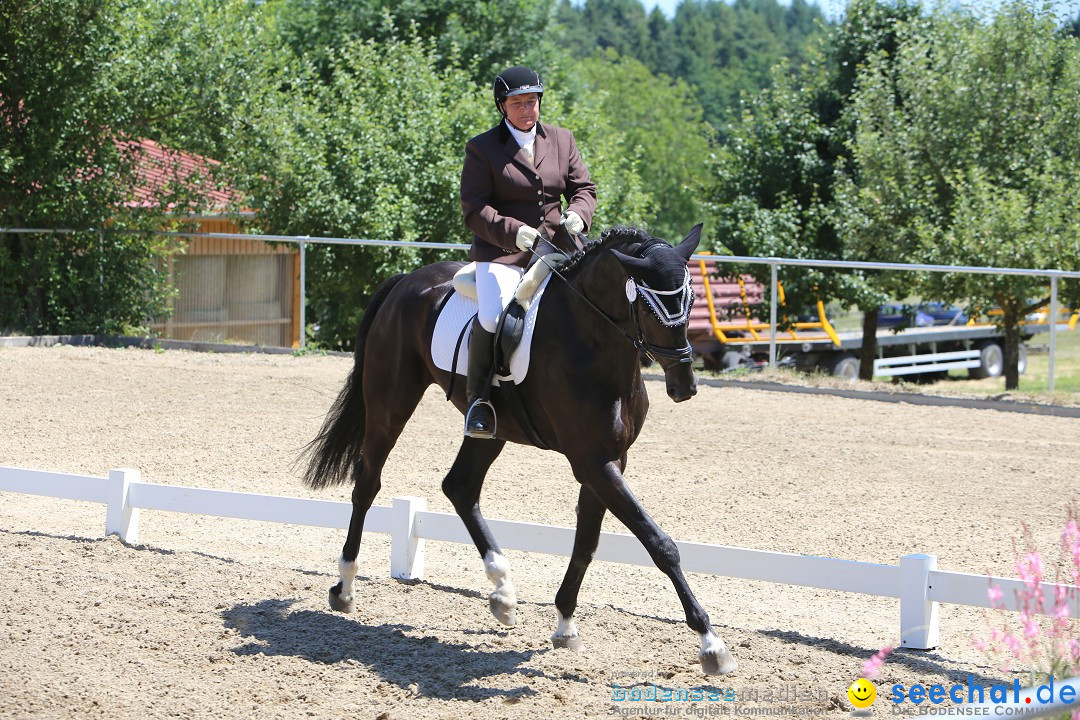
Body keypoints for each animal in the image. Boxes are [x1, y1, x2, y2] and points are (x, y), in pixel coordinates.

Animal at [304, 223, 743, 677]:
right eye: (651, 306)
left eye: (690, 300)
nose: (684, 386)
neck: (591, 340)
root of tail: (406, 280)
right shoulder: (593, 462)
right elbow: (659, 544)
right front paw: (712, 644)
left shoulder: (609, 459)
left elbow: (586, 542)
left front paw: (565, 624)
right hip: (390, 404)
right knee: (367, 483)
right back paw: (345, 586)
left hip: (489, 429)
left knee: (460, 487)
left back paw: (503, 592)